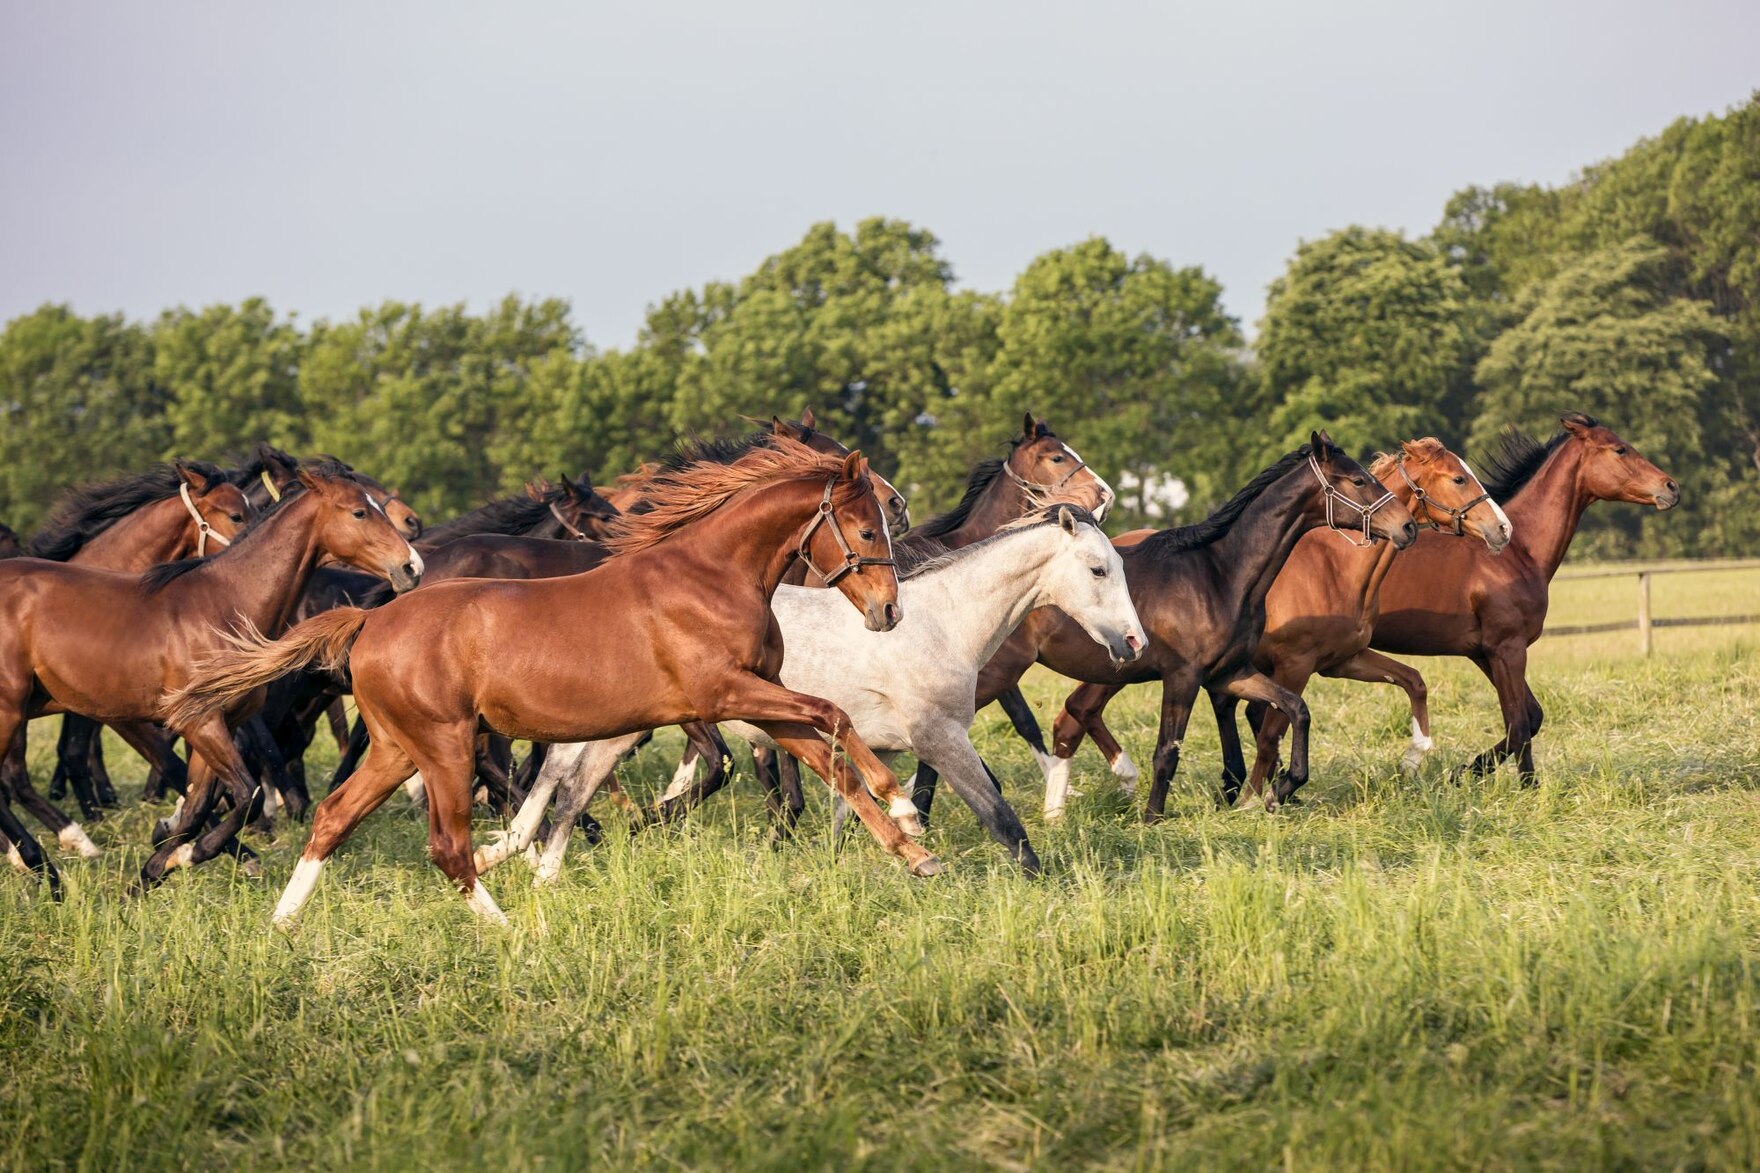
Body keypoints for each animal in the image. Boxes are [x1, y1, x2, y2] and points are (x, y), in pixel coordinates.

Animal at [0, 461, 418, 891]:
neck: (225, 604)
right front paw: (193, 854)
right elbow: (245, 795)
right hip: (9, 710)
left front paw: (153, 871)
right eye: (359, 512)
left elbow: (199, 804)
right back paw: (44, 862)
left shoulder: (217, 725)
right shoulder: (195, 723)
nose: (411, 566)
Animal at [168, 438, 936, 922]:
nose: (889, 611)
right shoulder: (722, 693)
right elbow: (833, 716)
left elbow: (827, 752)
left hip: (396, 749)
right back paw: (504, 927)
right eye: (867, 529)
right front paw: (904, 807)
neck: (711, 575)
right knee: (446, 845)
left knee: (334, 817)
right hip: (444, 746)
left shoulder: (758, 698)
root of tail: (369, 621)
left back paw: (282, 921)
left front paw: (913, 851)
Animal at [475, 503, 1147, 877]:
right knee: (567, 781)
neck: (945, 622)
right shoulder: (940, 738)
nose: (1134, 643)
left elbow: (855, 808)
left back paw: (532, 865)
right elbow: (1002, 819)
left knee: (569, 781)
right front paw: (1043, 886)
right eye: (1097, 569)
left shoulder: (889, 746)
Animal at [936, 429, 1415, 820]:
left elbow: (1295, 709)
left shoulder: (1230, 673)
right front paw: (1152, 819)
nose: (1407, 527)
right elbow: (1167, 753)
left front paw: (1281, 788)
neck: (1220, 573)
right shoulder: (1183, 677)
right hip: (996, 674)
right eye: (1358, 480)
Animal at [1372, 415, 1675, 782]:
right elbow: (1519, 725)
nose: (1671, 487)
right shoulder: (1508, 648)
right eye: (1620, 449)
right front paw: (1514, 782)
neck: (1517, 552)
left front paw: (1464, 772)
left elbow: (1531, 716)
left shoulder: (1484, 652)